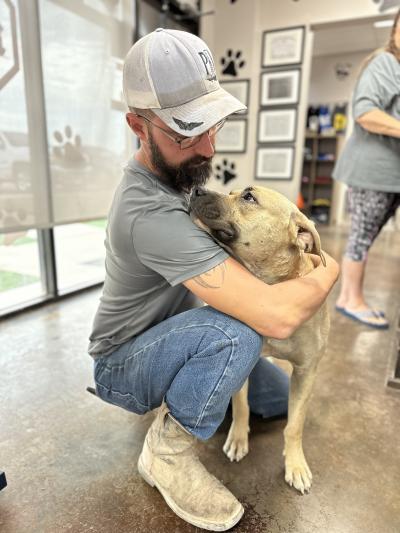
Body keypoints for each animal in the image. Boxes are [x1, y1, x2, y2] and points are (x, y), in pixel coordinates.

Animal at [189, 185, 330, 492]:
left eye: (248, 197)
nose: (196, 190)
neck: (271, 287)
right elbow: (242, 406)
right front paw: (238, 438)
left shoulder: (307, 372)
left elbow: (295, 424)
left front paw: (295, 463)